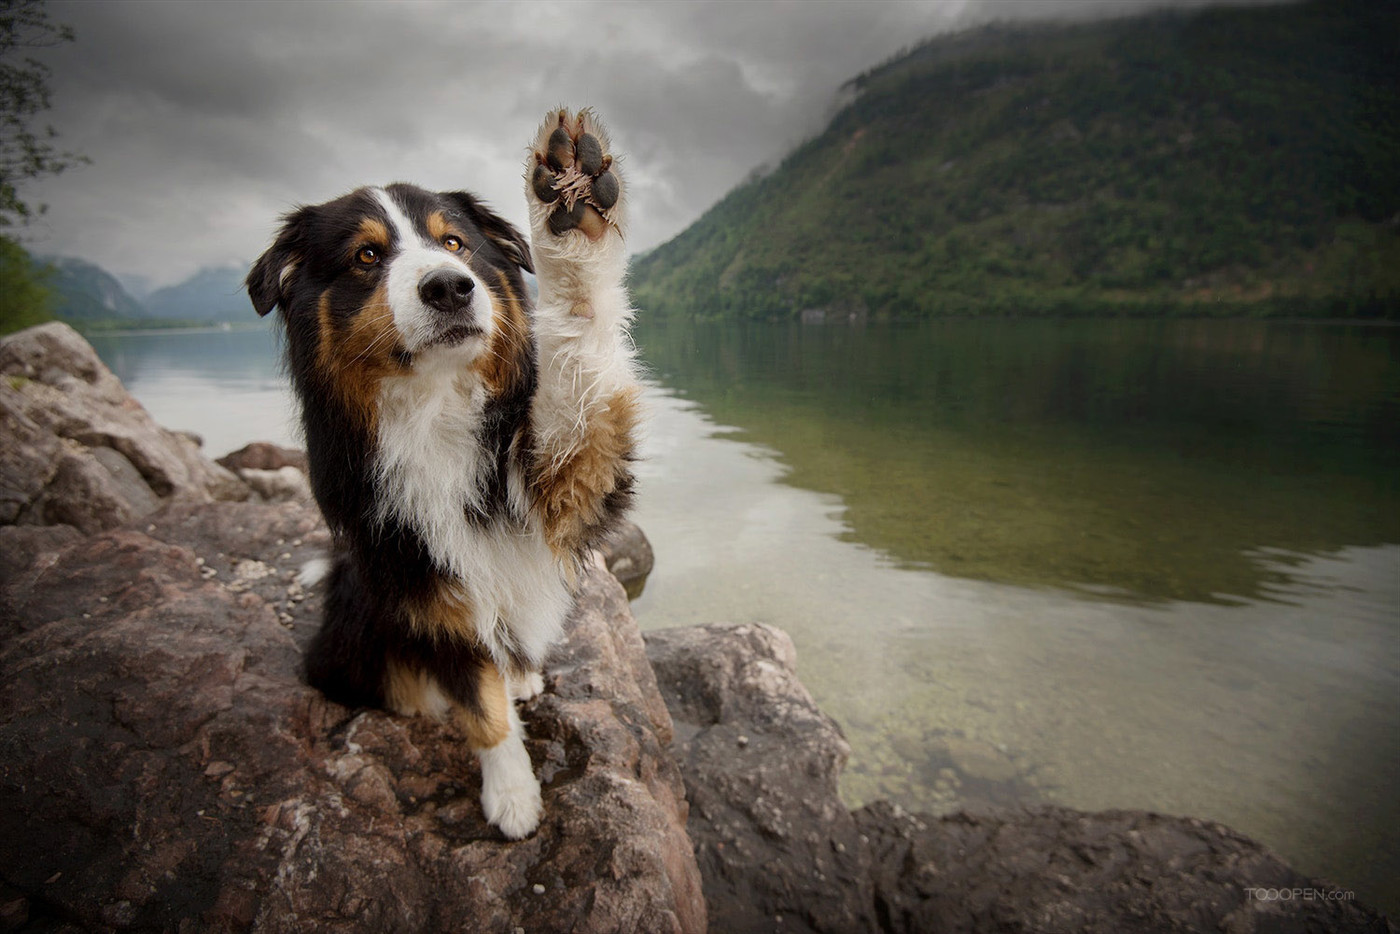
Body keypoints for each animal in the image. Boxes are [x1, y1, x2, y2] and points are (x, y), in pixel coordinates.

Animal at [249, 109, 641, 840]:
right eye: (366, 256)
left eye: (454, 243)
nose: (451, 286)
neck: (434, 404)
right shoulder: (426, 585)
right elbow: (479, 706)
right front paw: (513, 798)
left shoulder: (562, 475)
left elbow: (580, 358)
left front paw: (571, 206)